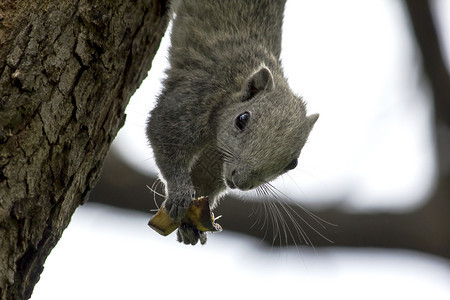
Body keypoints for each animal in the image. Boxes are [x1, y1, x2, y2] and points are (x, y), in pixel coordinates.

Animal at [146, 0, 318, 245]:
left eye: (292, 164)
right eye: (242, 119)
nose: (241, 182)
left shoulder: (217, 157)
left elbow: (205, 178)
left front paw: (192, 223)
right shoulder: (197, 94)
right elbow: (163, 132)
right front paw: (179, 192)